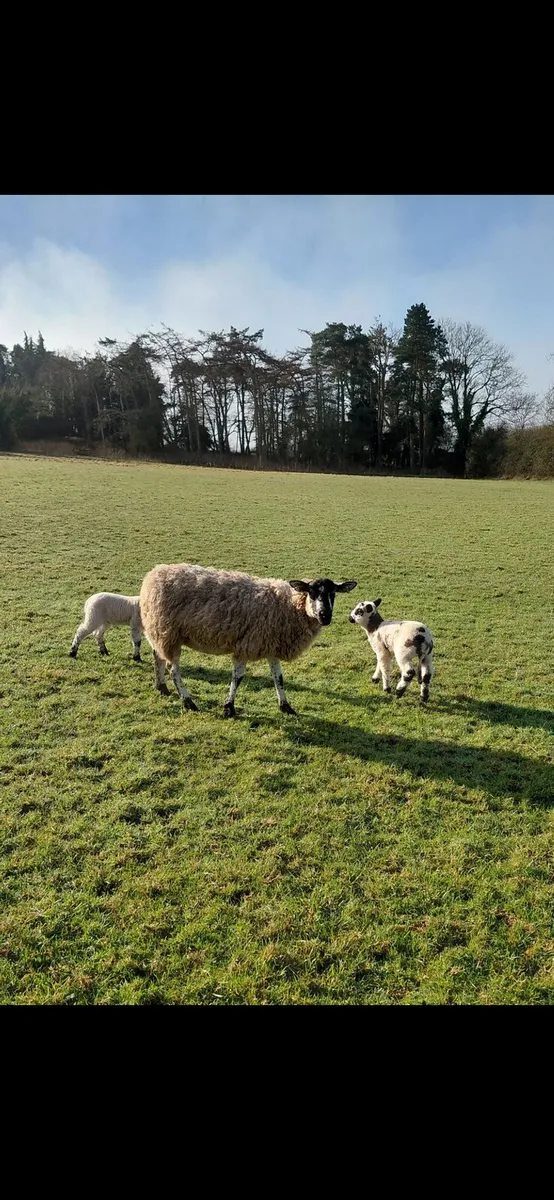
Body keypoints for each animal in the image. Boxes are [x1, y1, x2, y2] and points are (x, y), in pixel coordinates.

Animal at [139, 562, 358, 717]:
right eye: (311, 592)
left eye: (333, 593)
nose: (325, 616)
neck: (287, 606)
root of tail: (152, 575)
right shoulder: (246, 645)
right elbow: (238, 677)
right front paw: (229, 708)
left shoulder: (271, 645)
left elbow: (278, 677)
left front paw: (286, 707)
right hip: (168, 632)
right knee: (173, 668)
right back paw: (188, 701)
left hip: (159, 631)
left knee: (157, 656)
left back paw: (162, 687)